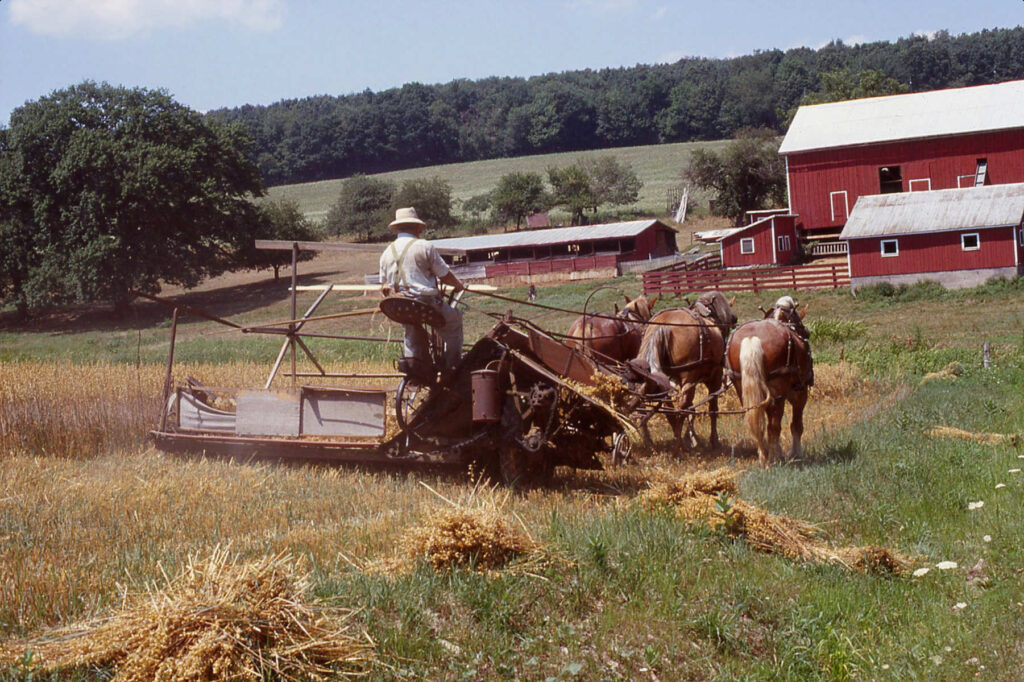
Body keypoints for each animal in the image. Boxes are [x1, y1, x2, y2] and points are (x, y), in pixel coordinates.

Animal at [630, 288, 737, 448]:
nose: (735, 319)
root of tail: (662, 325)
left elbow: (691, 408)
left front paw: (692, 437)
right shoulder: (715, 376)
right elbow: (712, 407)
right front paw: (713, 440)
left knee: (669, 405)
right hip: (689, 376)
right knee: (681, 406)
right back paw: (678, 443)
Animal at [729, 294, 815, 464]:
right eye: (805, 332)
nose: (807, 333)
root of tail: (751, 338)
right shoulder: (800, 392)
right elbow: (796, 425)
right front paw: (796, 453)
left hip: (742, 387)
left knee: (756, 419)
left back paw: (764, 454)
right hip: (780, 392)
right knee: (774, 425)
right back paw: (775, 457)